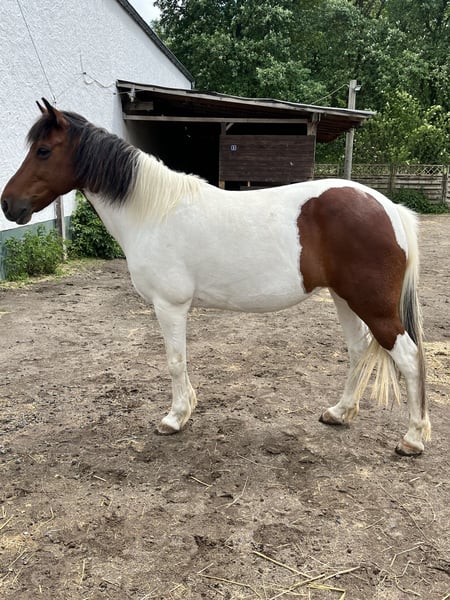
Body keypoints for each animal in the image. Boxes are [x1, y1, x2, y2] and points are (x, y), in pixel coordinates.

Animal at [1, 99, 431, 455]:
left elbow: (175, 360)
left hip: (373, 305)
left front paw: (175, 418)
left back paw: (412, 439)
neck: (153, 211)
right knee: (358, 350)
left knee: (408, 357)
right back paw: (340, 412)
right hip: (345, 299)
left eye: (43, 150)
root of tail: (388, 207)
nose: (8, 204)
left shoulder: (170, 305)